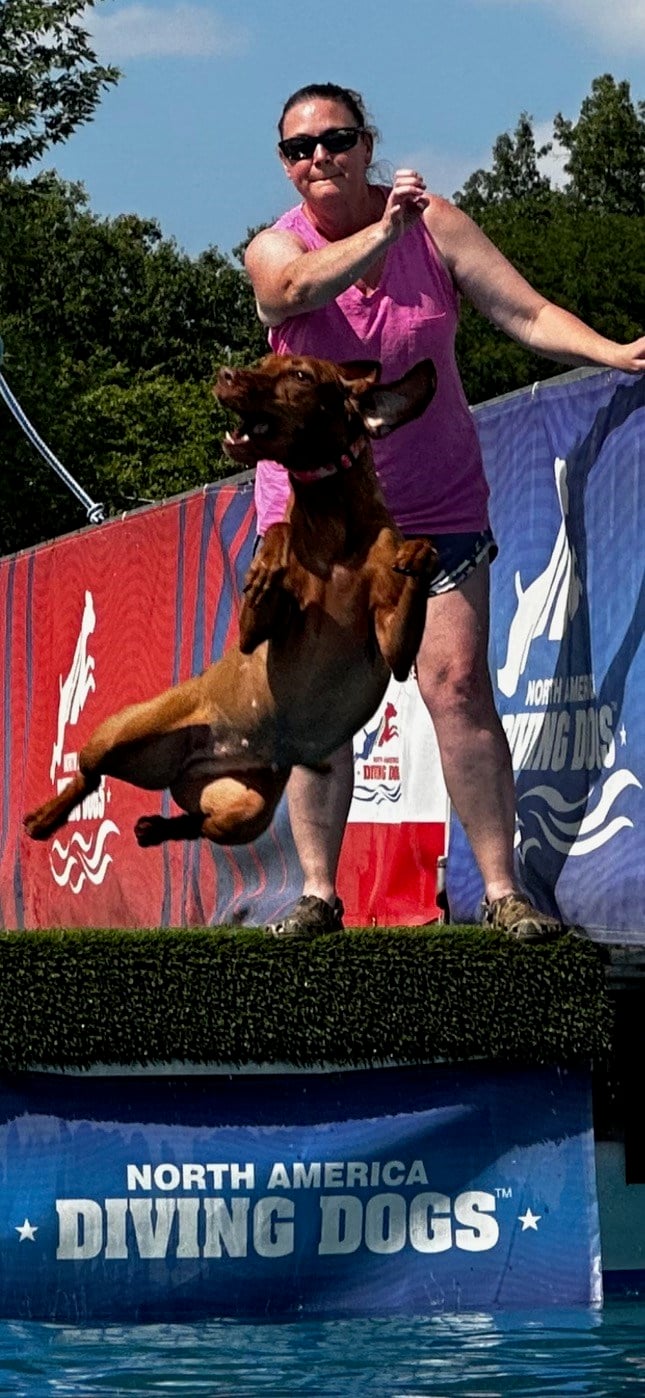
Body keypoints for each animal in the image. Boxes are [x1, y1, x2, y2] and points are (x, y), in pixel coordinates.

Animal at [25, 355, 436, 844]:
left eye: (300, 375)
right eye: (263, 361)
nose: (225, 374)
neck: (332, 520)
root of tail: (195, 762)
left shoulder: (395, 646)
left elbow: (415, 571)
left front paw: (420, 553)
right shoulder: (254, 633)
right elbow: (278, 533)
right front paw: (266, 565)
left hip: (247, 811)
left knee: (203, 822)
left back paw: (154, 827)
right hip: (120, 732)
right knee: (89, 775)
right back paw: (44, 817)